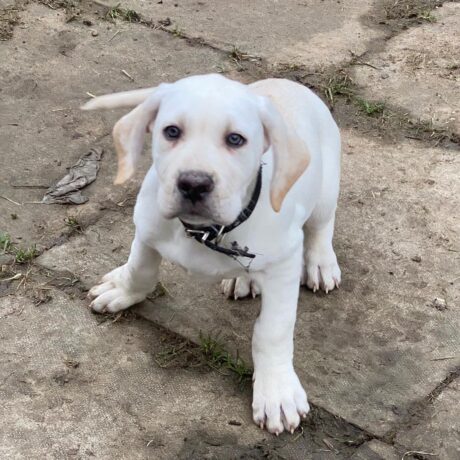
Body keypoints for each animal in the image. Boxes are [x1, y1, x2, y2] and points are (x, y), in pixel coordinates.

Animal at [82, 74, 342, 434]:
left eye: (236, 139)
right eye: (171, 131)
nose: (193, 183)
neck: (206, 230)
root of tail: (287, 82)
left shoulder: (284, 263)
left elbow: (273, 330)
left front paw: (276, 390)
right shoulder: (147, 226)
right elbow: (140, 269)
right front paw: (123, 290)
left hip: (325, 191)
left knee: (321, 225)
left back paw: (320, 262)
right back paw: (243, 281)